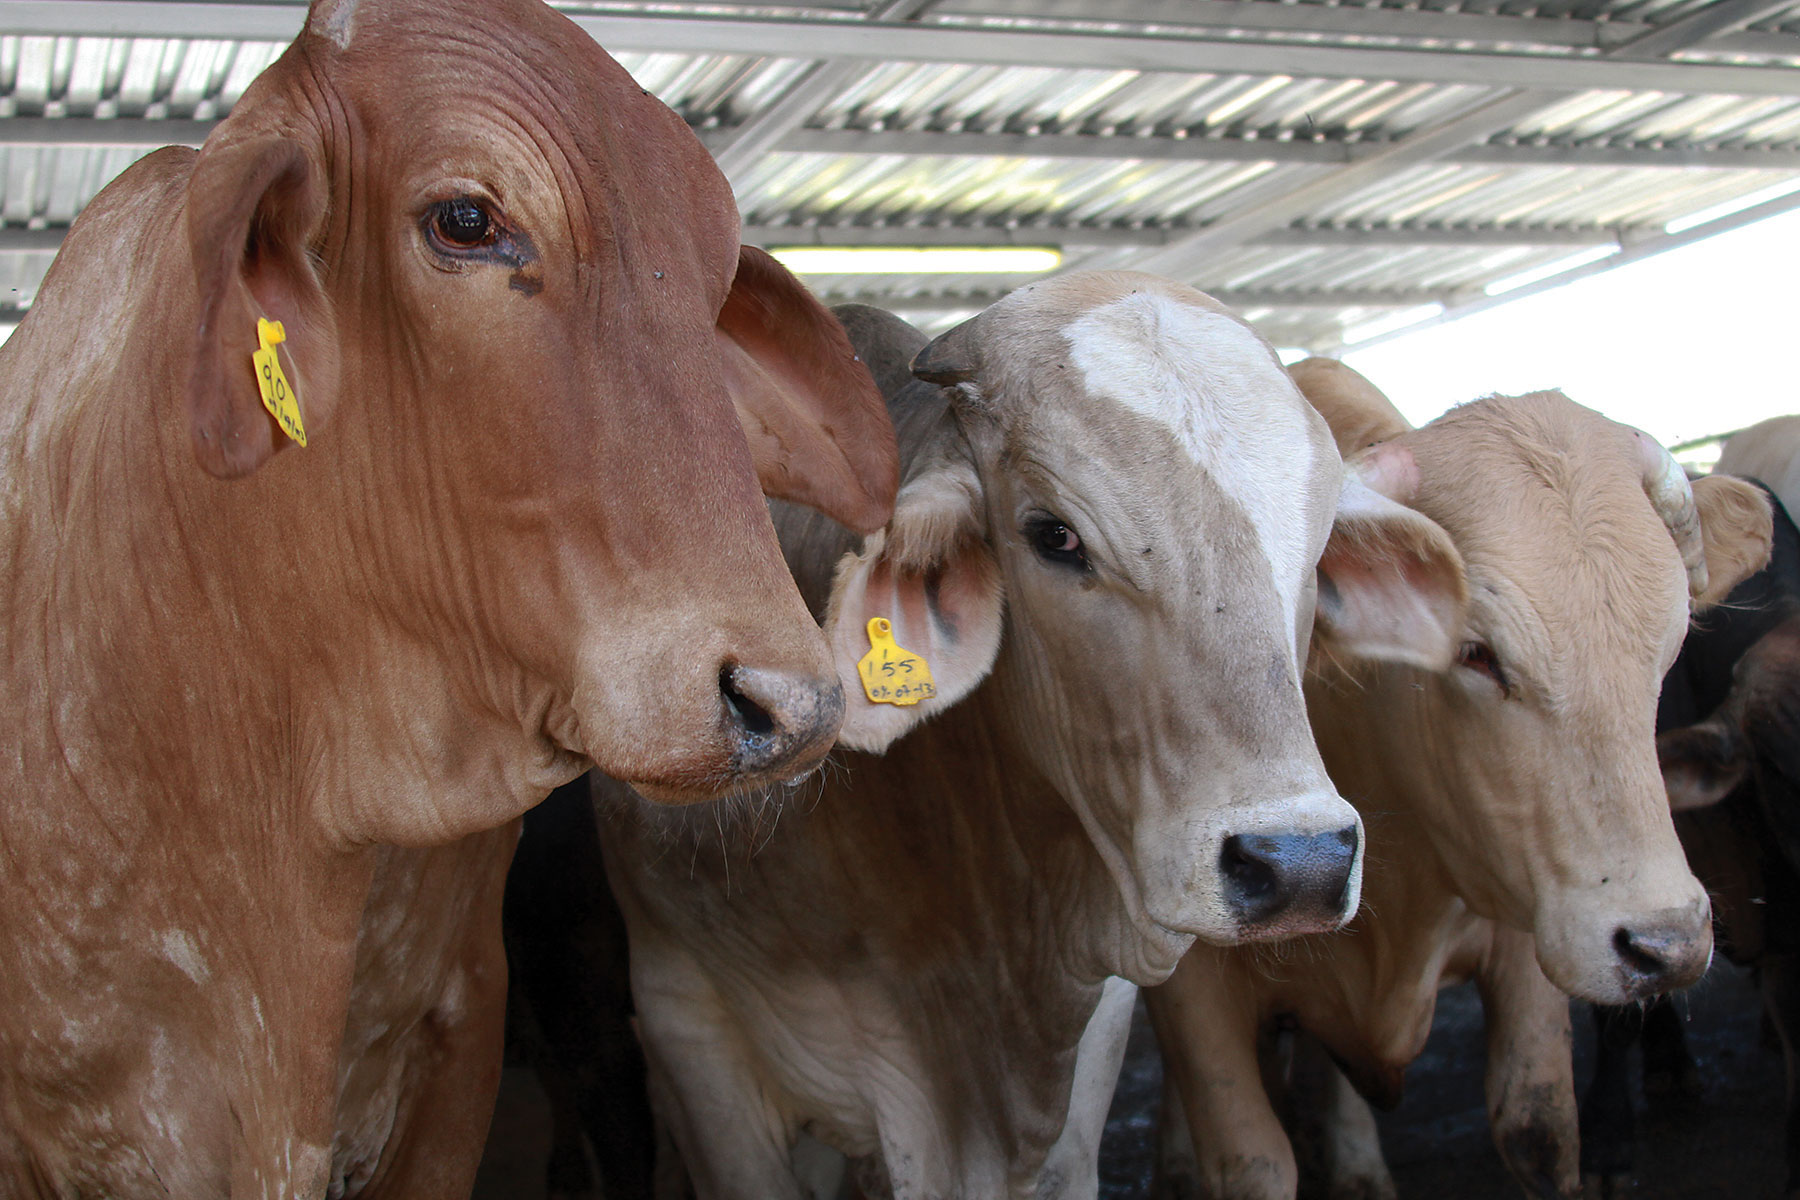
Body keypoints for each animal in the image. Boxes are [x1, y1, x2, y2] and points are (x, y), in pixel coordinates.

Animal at [1150, 359, 1773, 1200]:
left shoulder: (1530, 922)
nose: (1666, 944)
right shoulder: (1194, 995)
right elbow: (1252, 1163)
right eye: (1477, 652)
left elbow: (1537, 1126)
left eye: (1670, 642)